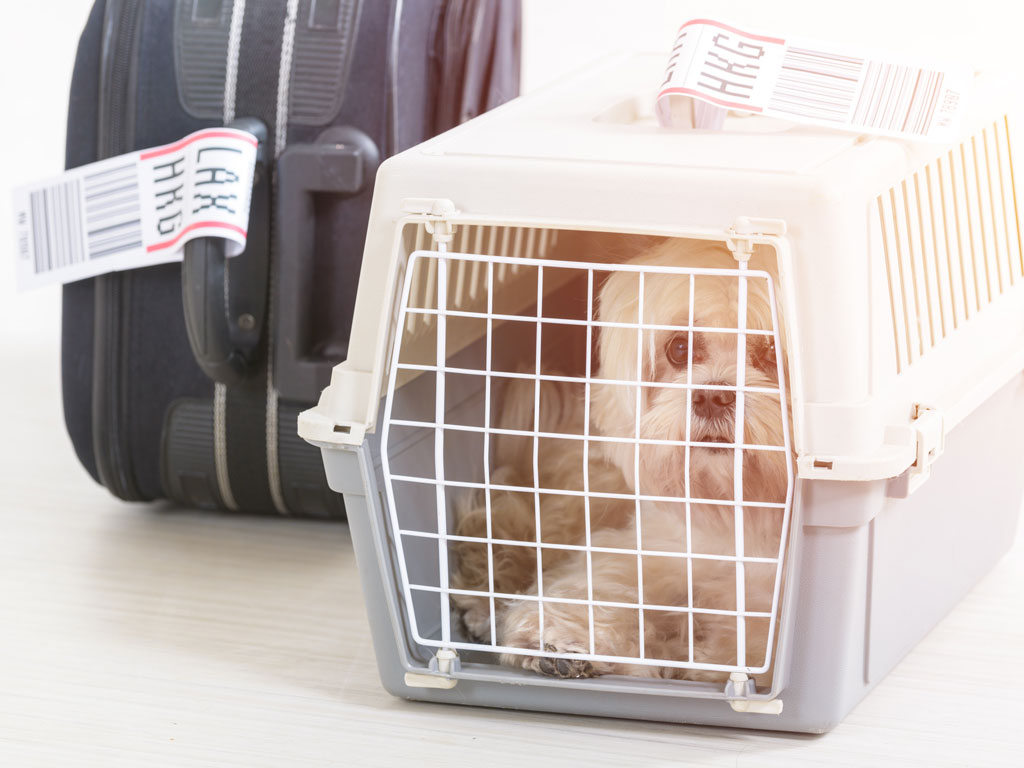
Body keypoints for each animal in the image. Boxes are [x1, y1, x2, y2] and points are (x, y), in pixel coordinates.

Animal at [450, 240, 790, 684]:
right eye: (679, 348)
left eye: (773, 352)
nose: (711, 396)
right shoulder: (652, 547)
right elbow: (607, 579)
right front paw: (561, 638)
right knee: (510, 523)